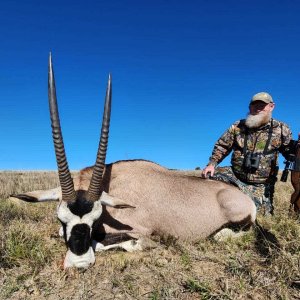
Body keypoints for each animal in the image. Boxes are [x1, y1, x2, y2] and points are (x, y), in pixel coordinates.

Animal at [11, 54, 255, 270]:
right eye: (61, 218)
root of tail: (246, 199)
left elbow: (108, 242)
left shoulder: (139, 231)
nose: (80, 264)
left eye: (94, 219)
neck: (113, 183)